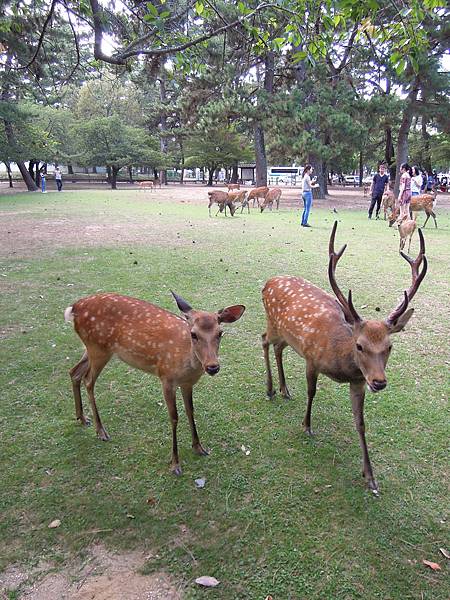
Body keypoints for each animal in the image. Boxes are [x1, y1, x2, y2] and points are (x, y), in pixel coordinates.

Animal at [64, 292, 244, 476]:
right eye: (193, 334)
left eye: (220, 333)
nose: (212, 367)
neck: (186, 363)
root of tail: (75, 307)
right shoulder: (166, 378)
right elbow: (174, 417)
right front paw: (175, 464)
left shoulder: (187, 384)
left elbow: (190, 411)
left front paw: (199, 447)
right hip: (98, 348)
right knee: (88, 380)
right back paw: (101, 430)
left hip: (92, 348)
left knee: (74, 372)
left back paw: (82, 417)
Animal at [262, 223, 428, 494]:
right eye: (359, 345)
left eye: (390, 346)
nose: (379, 382)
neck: (340, 361)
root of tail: (267, 282)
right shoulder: (311, 358)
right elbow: (312, 392)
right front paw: (307, 426)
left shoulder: (358, 382)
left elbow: (360, 422)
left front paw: (370, 477)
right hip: (272, 323)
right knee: (264, 339)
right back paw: (269, 389)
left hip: (287, 335)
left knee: (277, 348)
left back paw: (284, 389)